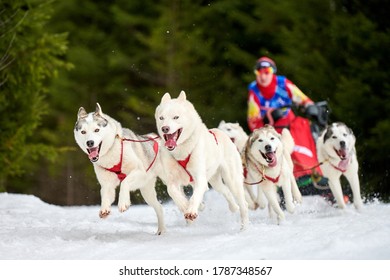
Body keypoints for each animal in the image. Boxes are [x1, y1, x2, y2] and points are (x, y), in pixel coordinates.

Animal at [74, 103, 166, 234]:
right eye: (83, 132)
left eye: (97, 130)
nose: (89, 142)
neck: (111, 152)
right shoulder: (107, 184)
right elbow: (105, 194)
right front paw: (104, 209)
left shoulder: (139, 172)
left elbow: (124, 183)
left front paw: (123, 203)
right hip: (146, 192)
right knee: (159, 207)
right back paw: (161, 230)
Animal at [154, 91, 248, 230]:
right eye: (161, 118)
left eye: (176, 117)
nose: (165, 128)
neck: (182, 151)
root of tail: (221, 133)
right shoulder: (172, 180)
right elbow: (172, 191)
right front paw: (184, 206)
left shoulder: (199, 178)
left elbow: (195, 196)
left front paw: (191, 210)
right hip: (215, 181)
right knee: (225, 191)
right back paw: (232, 207)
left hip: (232, 180)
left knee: (243, 204)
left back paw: (244, 227)